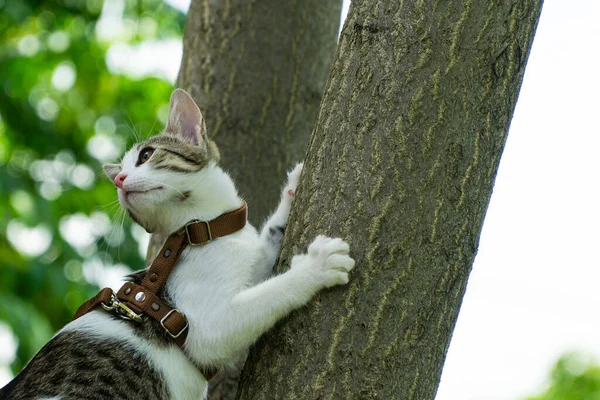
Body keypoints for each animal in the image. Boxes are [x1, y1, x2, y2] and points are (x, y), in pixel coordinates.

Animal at [0, 90, 354, 400]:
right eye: (121, 173)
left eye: (146, 155)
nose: (119, 180)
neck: (203, 231)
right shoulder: (207, 329)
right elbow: (271, 293)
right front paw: (317, 266)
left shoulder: (251, 261)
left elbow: (268, 246)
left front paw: (292, 193)